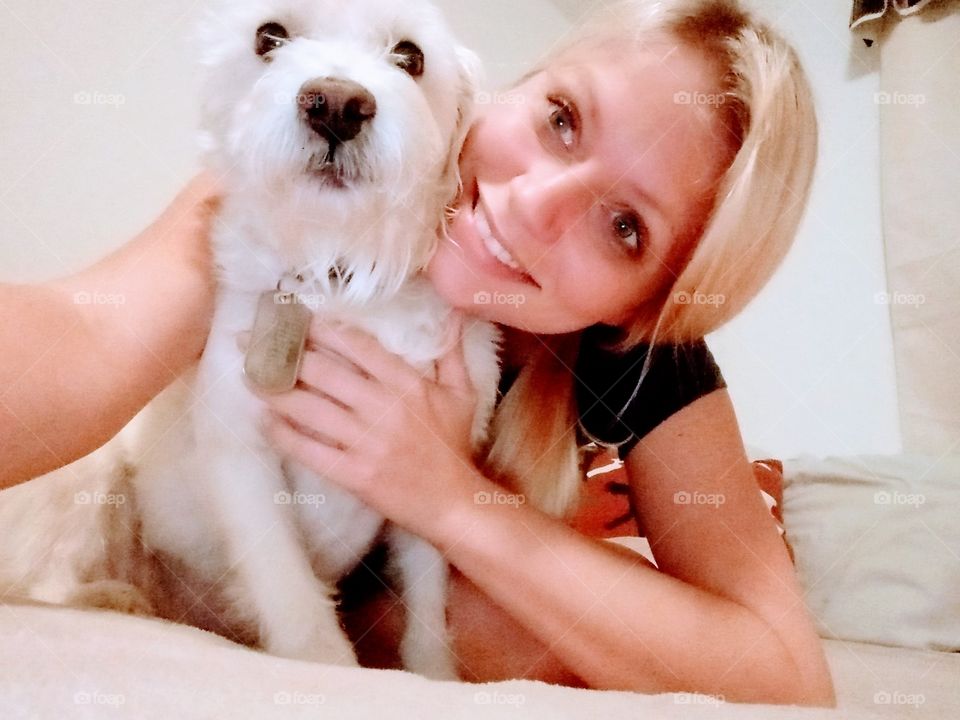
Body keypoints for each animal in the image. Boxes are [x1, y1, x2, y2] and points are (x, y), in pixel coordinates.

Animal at [0, 0, 498, 680]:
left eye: (411, 55)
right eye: (270, 36)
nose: (336, 104)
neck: (336, 274)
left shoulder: (425, 474)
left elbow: (427, 602)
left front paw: (431, 676)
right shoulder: (241, 453)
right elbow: (290, 592)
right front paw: (327, 669)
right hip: (91, 470)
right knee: (48, 584)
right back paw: (114, 598)